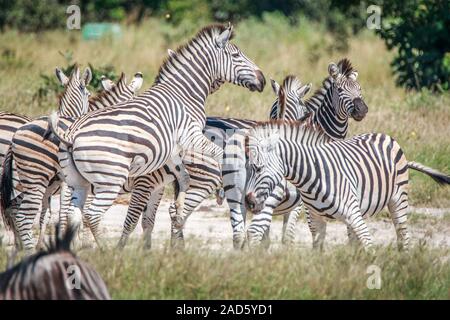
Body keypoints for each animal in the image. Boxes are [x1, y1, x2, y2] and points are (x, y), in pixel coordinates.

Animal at [0, 68, 142, 252]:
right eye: (88, 94)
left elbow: (57, 212)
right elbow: (70, 210)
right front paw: (77, 241)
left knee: (13, 208)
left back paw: (21, 245)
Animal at [47, 23, 266, 246]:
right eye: (236, 55)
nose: (263, 79)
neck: (182, 93)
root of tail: (71, 135)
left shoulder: (170, 148)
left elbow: (183, 176)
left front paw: (179, 210)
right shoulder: (190, 135)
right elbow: (219, 154)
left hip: (78, 182)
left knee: (73, 214)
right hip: (110, 179)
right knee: (91, 215)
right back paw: (106, 250)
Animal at [222, 58, 370, 248]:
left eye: (360, 89)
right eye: (340, 89)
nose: (362, 110)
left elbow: (270, 239)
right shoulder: (304, 202)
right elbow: (299, 235)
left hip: (236, 196)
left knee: (239, 234)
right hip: (264, 196)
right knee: (253, 231)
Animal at [243, 120, 450, 250]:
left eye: (258, 168)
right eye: (250, 168)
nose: (248, 202)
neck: (312, 176)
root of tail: (384, 136)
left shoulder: (353, 214)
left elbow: (369, 246)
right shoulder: (316, 220)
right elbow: (318, 252)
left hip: (397, 200)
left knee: (403, 237)